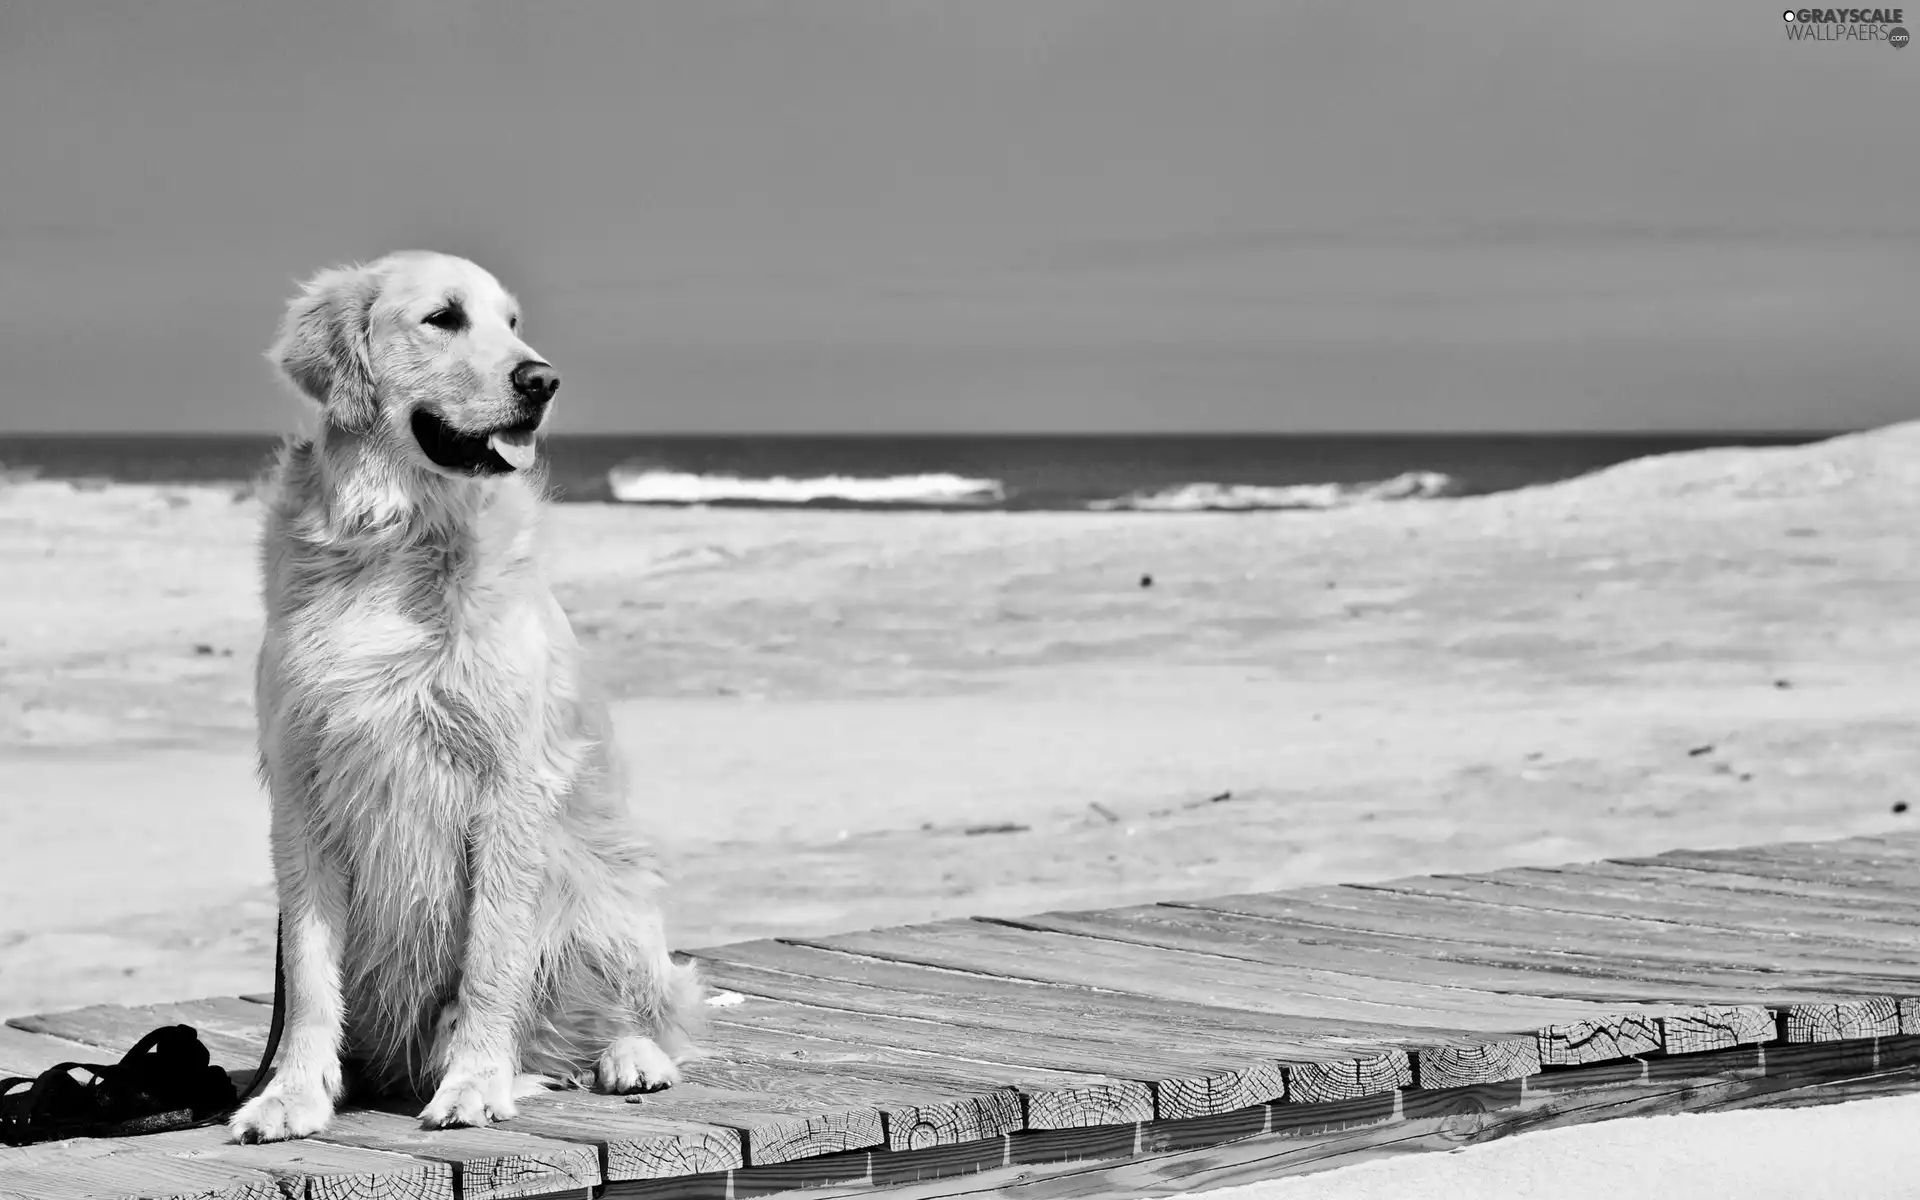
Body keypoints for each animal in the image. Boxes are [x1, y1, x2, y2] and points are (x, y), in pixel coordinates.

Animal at [232, 249, 698, 1144]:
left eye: (512, 323)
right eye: (444, 318)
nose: (543, 379)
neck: (394, 538)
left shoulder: (508, 788)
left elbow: (490, 957)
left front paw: (476, 1082)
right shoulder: (301, 795)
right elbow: (307, 972)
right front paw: (293, 1092)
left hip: (610, 892)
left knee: (639, 1012)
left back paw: (629, 1058)